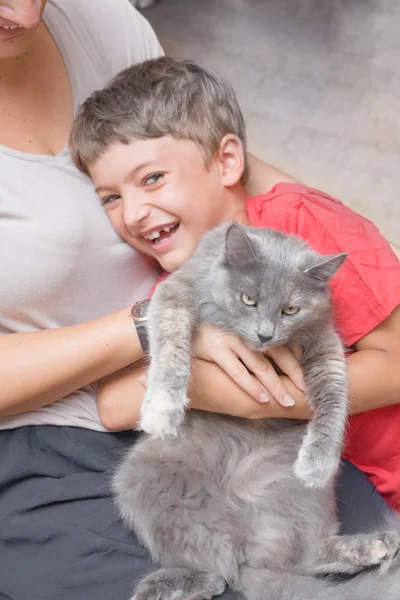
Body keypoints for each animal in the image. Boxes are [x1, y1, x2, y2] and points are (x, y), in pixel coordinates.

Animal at [113, 225, 400, 600]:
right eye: (248, 300)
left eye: (291, 309)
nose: (265, 334)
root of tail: (247, 534)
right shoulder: (175, 294)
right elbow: (171, 347)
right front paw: (162, 409)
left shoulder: (324, 342)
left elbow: (335, 396)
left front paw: (318, 462)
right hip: (138, 482)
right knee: (219, 573)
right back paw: (177, 587)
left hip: (309, 497)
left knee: (303, 557)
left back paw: (378, 545)